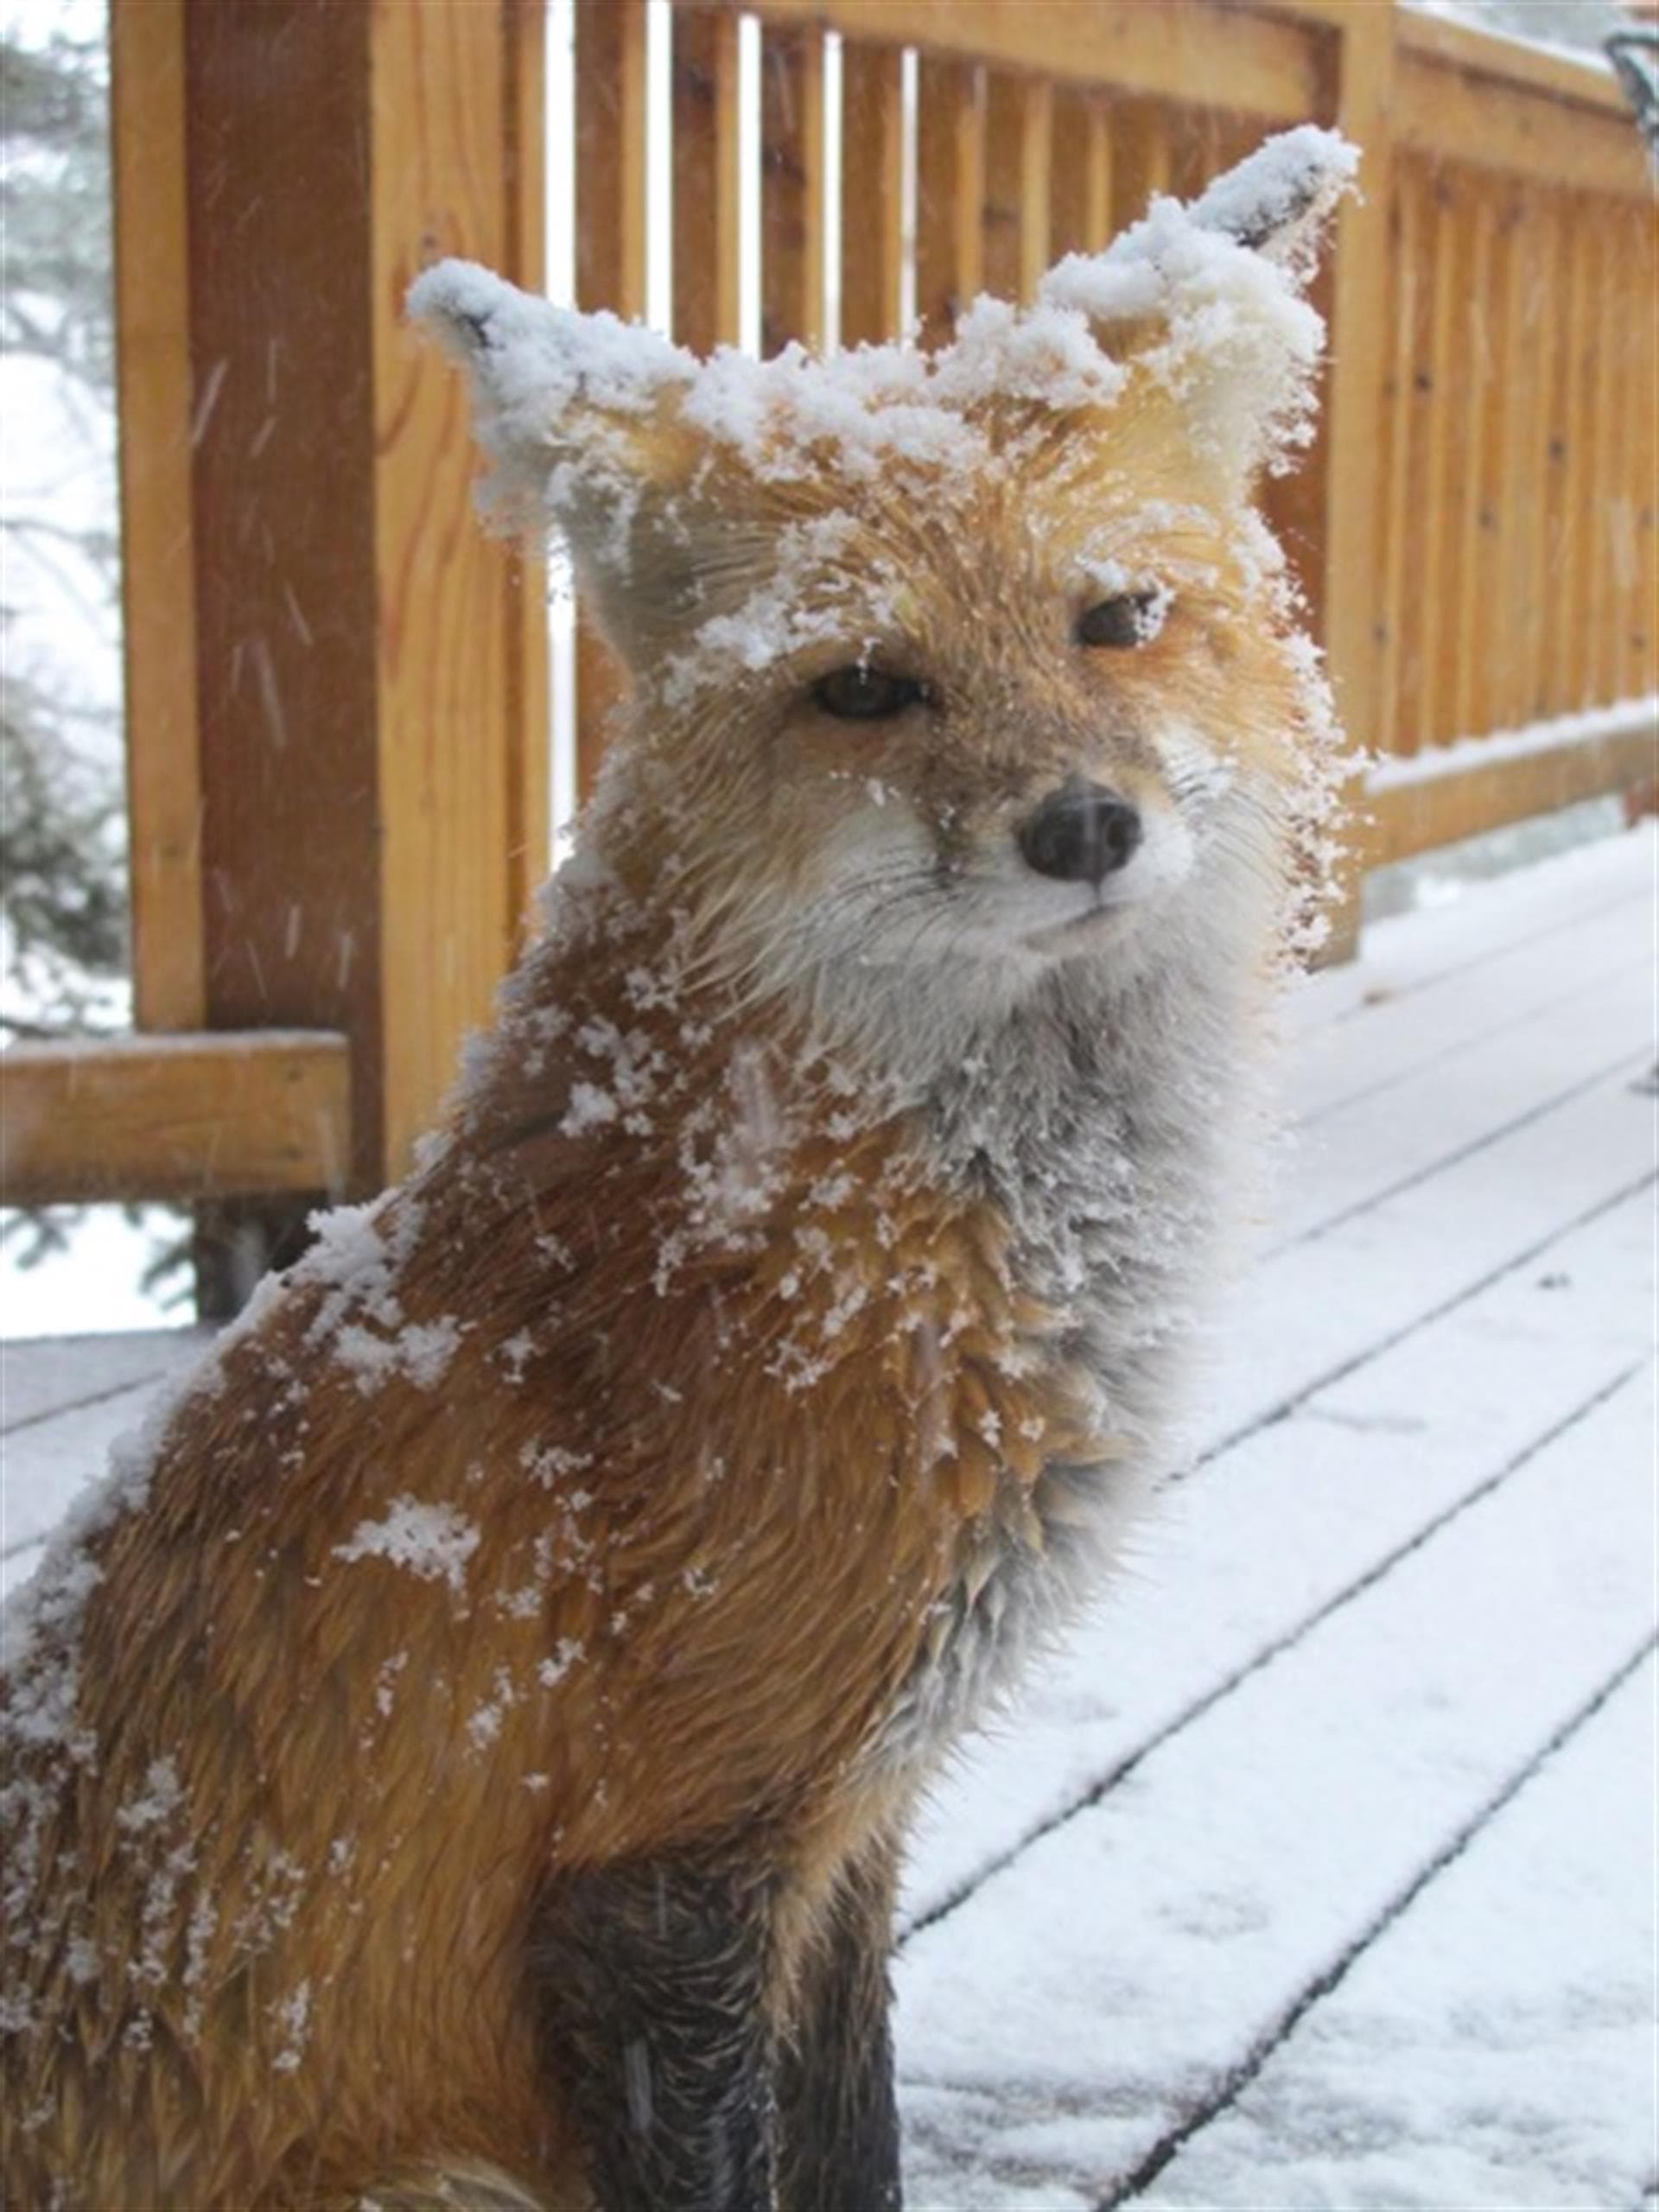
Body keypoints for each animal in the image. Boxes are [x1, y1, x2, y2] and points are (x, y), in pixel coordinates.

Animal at [2, 127, 1354, 2212]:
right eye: (864, 686)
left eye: (1116, 619)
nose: (1083, 827)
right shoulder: (667, 1862)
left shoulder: (849, 1827)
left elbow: (860, 2148)